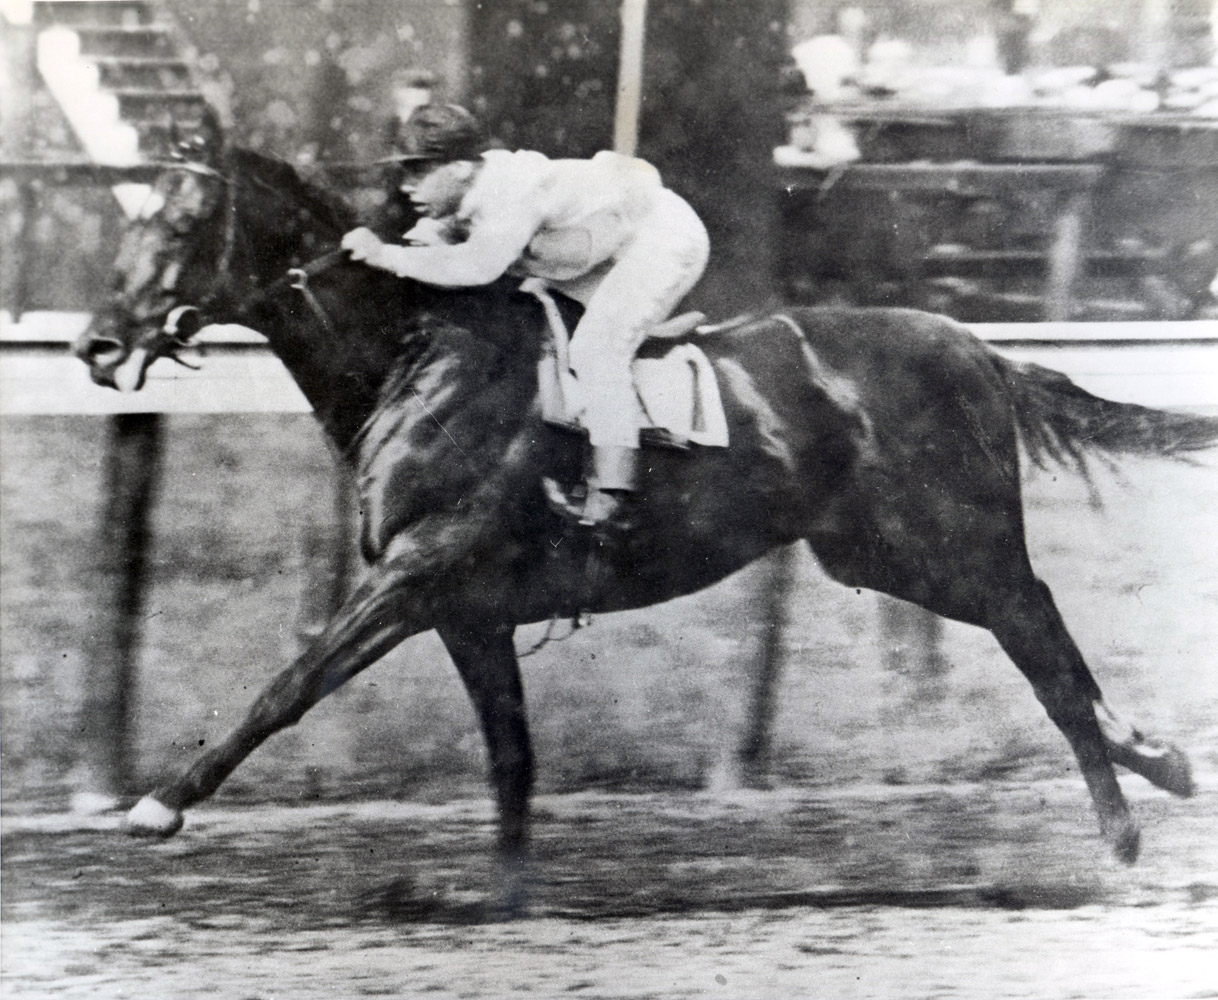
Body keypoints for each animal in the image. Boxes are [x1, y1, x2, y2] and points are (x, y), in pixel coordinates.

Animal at [78, 142, 1218, 896]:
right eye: (123, 220)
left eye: (174, 227)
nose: (95, 344)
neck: (418, 358)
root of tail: (976, 345)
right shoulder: (465, 610)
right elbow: (511, 756)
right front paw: (508, 893)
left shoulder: (413, 576)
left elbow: (289, 687)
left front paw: (159, 802)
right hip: (880, 552)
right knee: (1038, 632)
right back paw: (1153, 756)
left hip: (955, 538)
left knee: (1042, 642)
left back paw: (1123, 826)